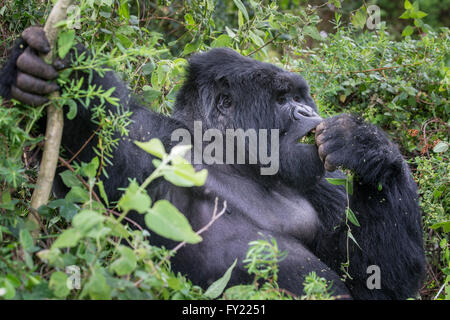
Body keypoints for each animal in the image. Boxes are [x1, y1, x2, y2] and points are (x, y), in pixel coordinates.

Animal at [0, 26, 424, 298]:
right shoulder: (148, 135)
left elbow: (379, 280)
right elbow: (90, 142)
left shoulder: (322, 185)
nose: (307, 110)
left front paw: (369, 149)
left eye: (301, 96)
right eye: (282, 99)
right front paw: (37, 68)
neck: (230, 158)